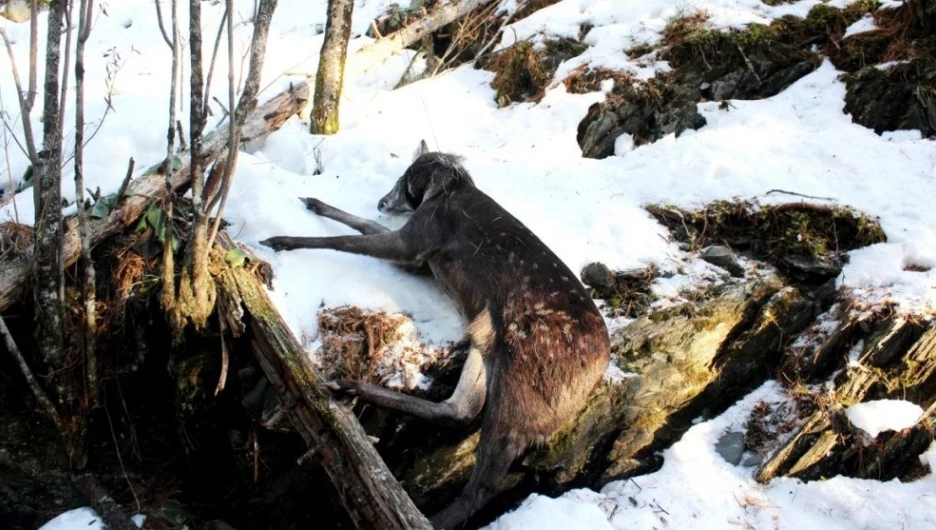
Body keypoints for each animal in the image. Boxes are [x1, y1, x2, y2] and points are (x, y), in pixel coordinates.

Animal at [262, 141, 616, 528]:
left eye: (405, 177)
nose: (382, 202)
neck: (446, 188)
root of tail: (596, 372)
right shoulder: (415, 249)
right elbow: (364, 226)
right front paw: (314, 203)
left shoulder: (415, 243)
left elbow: (346, 239)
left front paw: (281, 239)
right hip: (486, 342)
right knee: (458, 409)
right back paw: (349, 387)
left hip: (520, 385)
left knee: (484, 478)